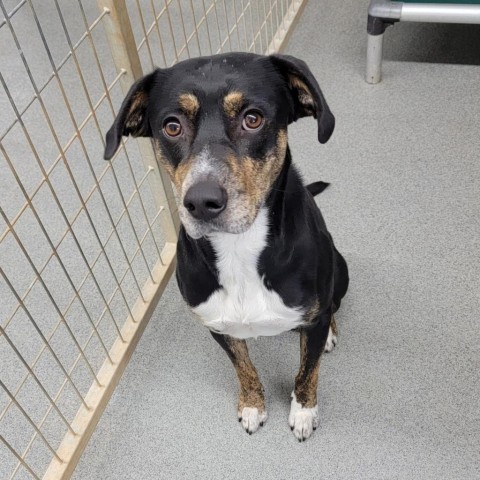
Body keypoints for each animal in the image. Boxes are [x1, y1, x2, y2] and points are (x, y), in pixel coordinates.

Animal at [104, 53, 348, 442]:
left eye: (253, 118)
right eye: (171, 126)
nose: (202, 202)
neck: (239, 250)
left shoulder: (312, 316)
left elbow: (308, 371)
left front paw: (303, 412)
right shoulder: (218, 325)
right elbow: (244, 367)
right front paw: (252, 405)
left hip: (340, 271)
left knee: (331, 309)